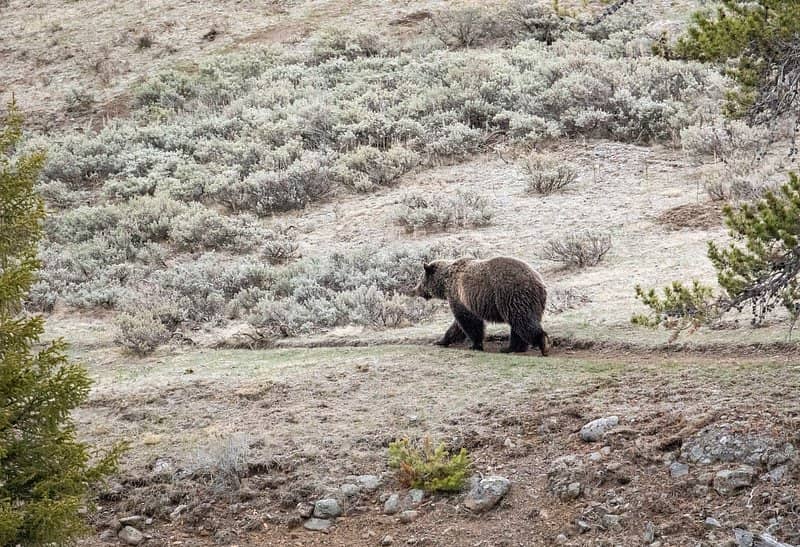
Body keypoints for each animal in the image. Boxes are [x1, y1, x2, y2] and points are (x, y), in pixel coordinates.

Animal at [411, 256, 550, 355]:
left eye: (421, 280)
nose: (415, 290)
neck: (446, 282)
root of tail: (539, 282)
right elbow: (457, 325)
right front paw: (440, 341)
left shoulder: (459, 296)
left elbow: (468, 321)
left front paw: (475, 345)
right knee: (518, 325)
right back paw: (511, 348)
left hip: (512, 296)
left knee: (522, 321)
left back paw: (542, 344)